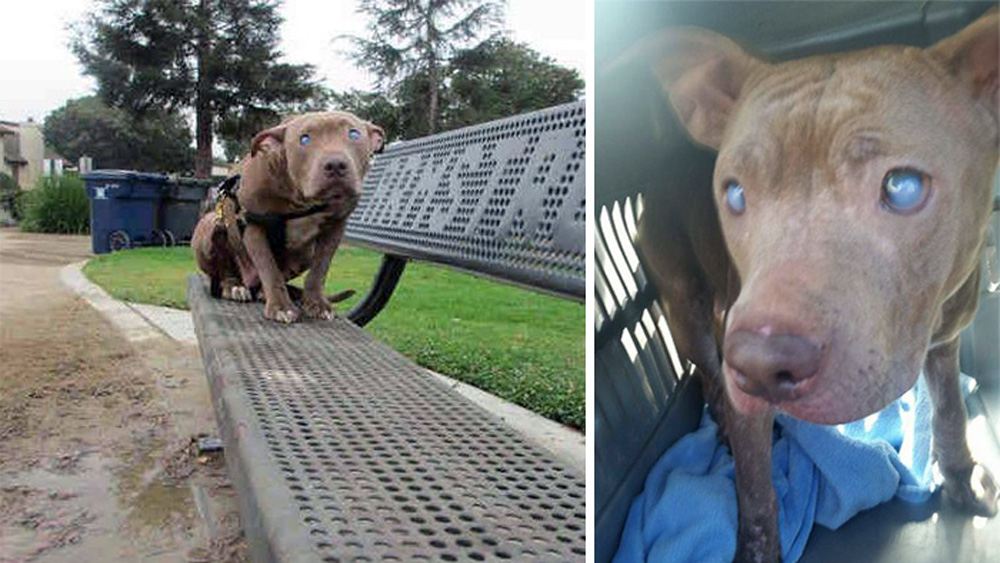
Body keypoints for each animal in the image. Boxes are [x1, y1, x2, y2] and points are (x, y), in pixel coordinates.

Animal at [191, 111, 382, 322]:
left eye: (354, 134)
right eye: (304, 139)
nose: (336, 165)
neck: (301, 200)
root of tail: (249, 281)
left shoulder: (335, 227)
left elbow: (319, 270)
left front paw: (316, 303)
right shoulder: (254, 226)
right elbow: (269, 269)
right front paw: (281, 307)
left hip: (306, 253)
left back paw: (263, 293)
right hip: (212, 225)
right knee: (226, 270)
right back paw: (234, 286)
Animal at [628, 9, 996, 563]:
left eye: (903, 186)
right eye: (735, 193)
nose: (761, 365)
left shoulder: (946, 339)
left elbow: (950, 408)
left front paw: (959, 476)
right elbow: (756, 492)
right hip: (684, 304)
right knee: (708, 375)